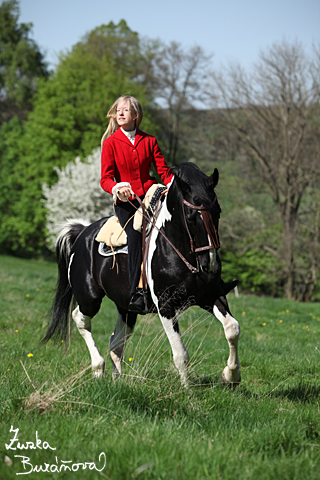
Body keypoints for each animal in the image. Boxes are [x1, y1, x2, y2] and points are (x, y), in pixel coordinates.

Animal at [43, 163, 241, 388]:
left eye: (218, 213)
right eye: (191, 217)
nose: (210, 264)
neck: (175, 247)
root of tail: (83, 232)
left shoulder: (210, 296)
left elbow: (232, 328)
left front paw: (231, 376)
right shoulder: (166, 305)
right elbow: (181, 354)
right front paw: (188, 391)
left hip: (126, 308)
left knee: (116, 343)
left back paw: (117, 381)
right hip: (89, 299)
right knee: (80, 319)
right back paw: (98, 368)